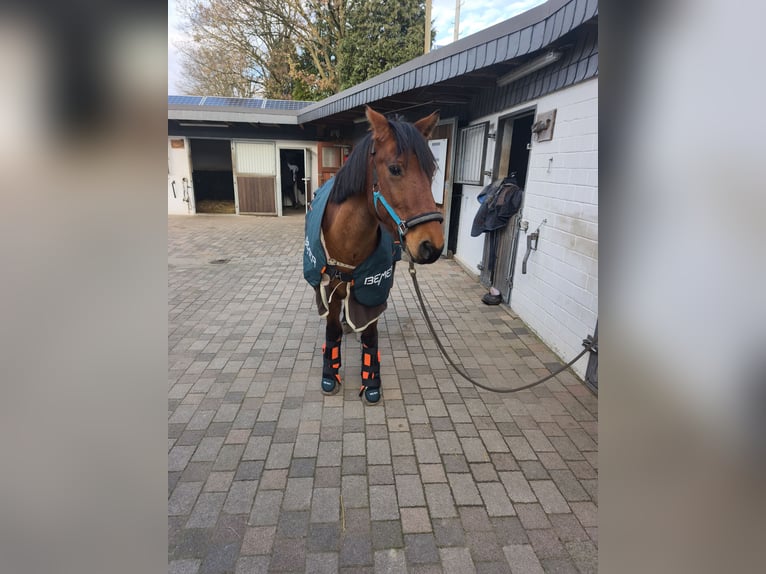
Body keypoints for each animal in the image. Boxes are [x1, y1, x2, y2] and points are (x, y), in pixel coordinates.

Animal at [303, 106, 444, 404]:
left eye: (432, 171)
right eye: (395, 169)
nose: (432, 246)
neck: (349, 240)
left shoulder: (374, 287)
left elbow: (370, 335)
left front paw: (371, 381)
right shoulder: (328, 287)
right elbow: (332, 332)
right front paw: (330, 375)